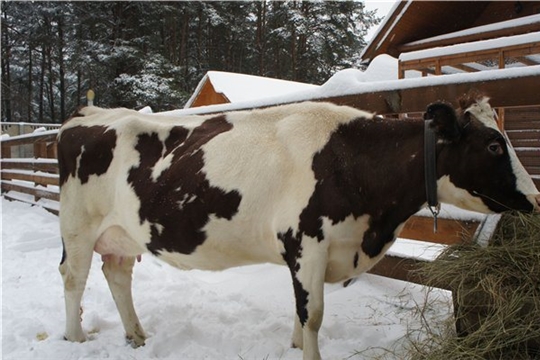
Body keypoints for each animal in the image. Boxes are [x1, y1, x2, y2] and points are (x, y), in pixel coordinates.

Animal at [59, 94, 540, 358]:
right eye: (494, 145)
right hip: (77, 226)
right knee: (74, 277)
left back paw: (136, 335)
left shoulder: (309, 253)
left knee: (117, 273)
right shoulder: (308, 243)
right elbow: (313, 316)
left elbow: (300, 309)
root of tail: (88, 113)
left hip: (122, 232)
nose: (535, 198)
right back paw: (75, 337)